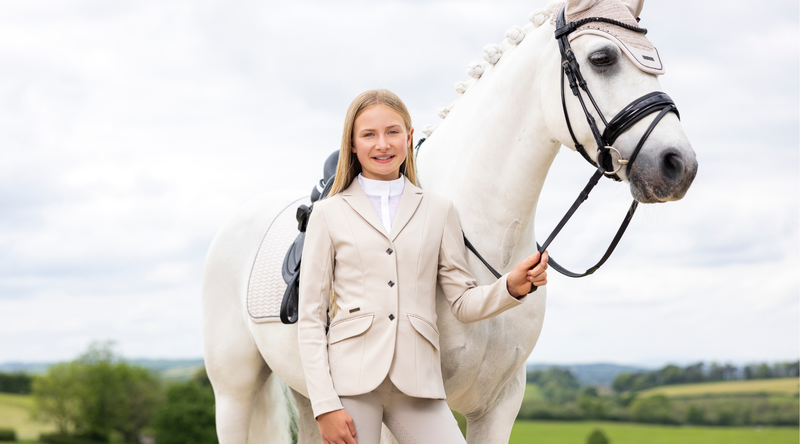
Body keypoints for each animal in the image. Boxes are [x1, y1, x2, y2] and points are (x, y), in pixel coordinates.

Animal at [202, 1, 698, 442]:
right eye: (602, 58)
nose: (678, 165)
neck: (485, 238)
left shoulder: (499, 406)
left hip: (311, 393)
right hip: (234, 393)